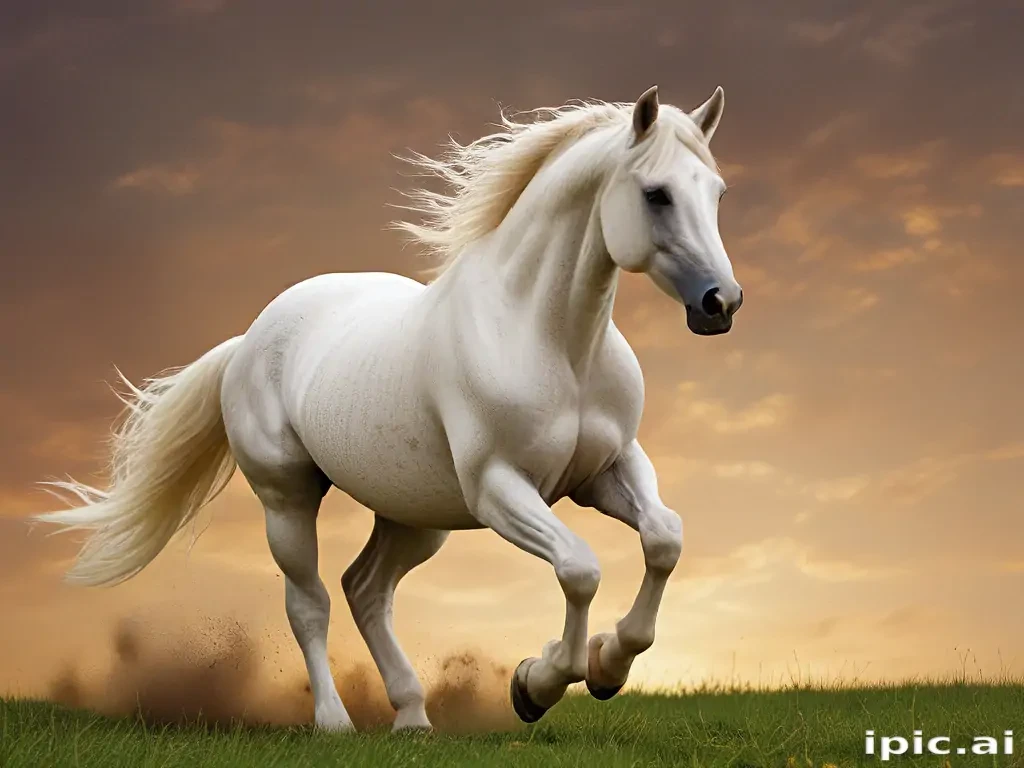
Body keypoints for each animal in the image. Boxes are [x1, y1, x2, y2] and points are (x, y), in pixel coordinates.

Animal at [34, 84, 742, 731]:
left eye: (716, 193)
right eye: (656, 194)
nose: (721, 303)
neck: (550, 341)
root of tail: (249, 340)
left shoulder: (608, 469)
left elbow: (664, 539)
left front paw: (606, 668)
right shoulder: (500, 488)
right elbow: (580, 568)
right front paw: (536, 685)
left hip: (415, 514)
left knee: (366, 589)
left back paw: (412, 716)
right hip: (288, 500)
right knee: (311, 601)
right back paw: (335, 723)